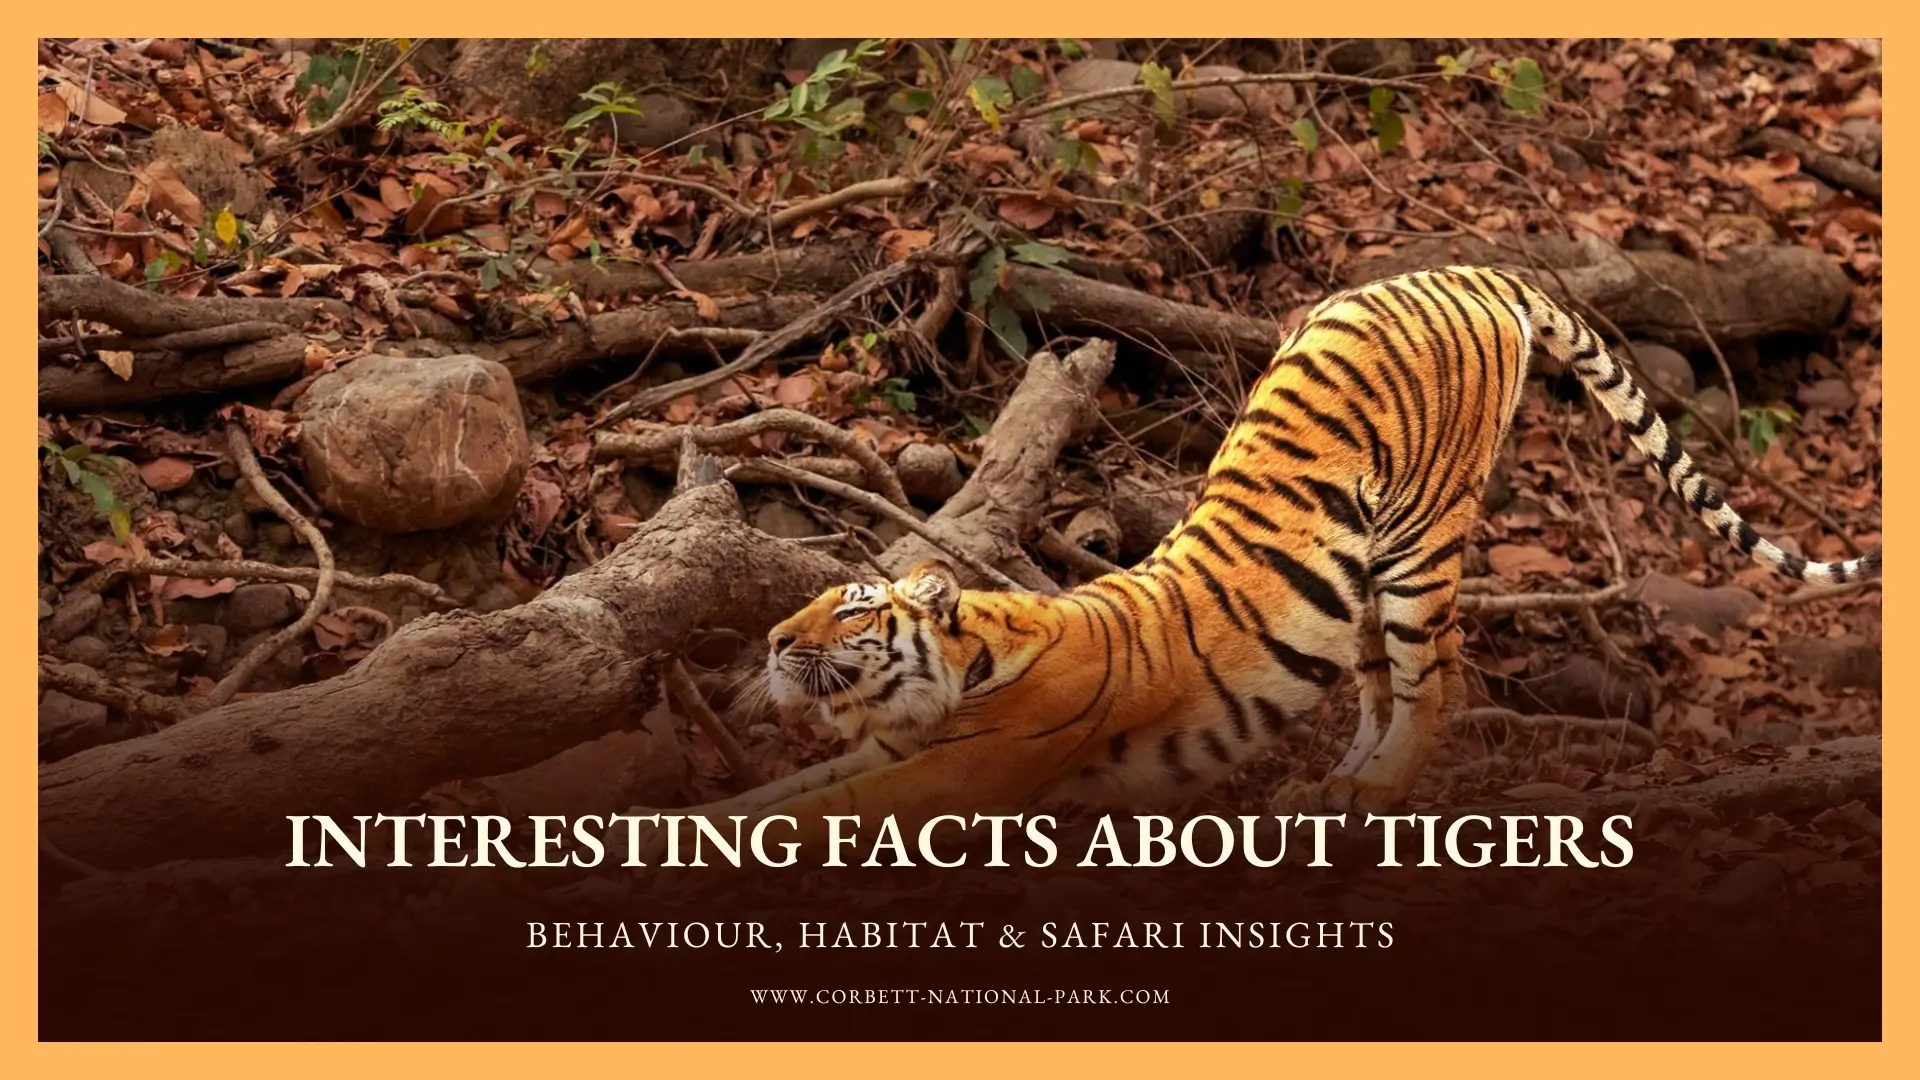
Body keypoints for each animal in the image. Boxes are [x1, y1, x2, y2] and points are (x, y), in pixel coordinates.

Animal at [623, 265, 1882, 853]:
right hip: (1363, 578)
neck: (956, 674)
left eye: (851, 612)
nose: (773, 642)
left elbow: (804, 818)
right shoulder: (888, 751)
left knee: (1439, 682)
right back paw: (1329, 790)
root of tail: (1468, 273)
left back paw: (1375, 794)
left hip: (1422, 547)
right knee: (1378, 685)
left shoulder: (956, 776)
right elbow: (772, 794)